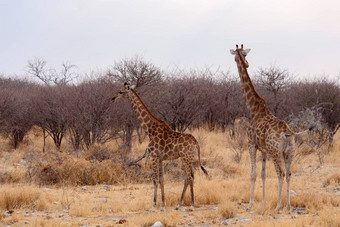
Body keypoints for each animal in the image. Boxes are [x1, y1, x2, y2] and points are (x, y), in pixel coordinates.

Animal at [111, 83, 209, 211]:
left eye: (121, 92)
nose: (112, 98)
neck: (149, 130)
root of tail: (196, 143)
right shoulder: (160, 158)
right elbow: (162, 179)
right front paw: (162, 205)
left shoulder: (154, 156)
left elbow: (155, 179)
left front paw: (153, 205)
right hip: (187, 158)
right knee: (189, 177)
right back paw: (178, 205)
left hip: (186, 158)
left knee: (190, 177)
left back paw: (191, 205)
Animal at [230, 44, 312, 211]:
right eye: (244, 56)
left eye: (238, 56)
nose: (247, 63)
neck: (253, 109)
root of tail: (288, 132)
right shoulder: (264, 150)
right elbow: (263, 174)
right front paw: (263, 200)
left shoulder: (251, 145)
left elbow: (254, 174)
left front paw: (250, 203)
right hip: (289, 153)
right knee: (289, 174)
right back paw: (287, 205)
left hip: (276, 153)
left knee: (280, 173)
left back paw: (279, 205)